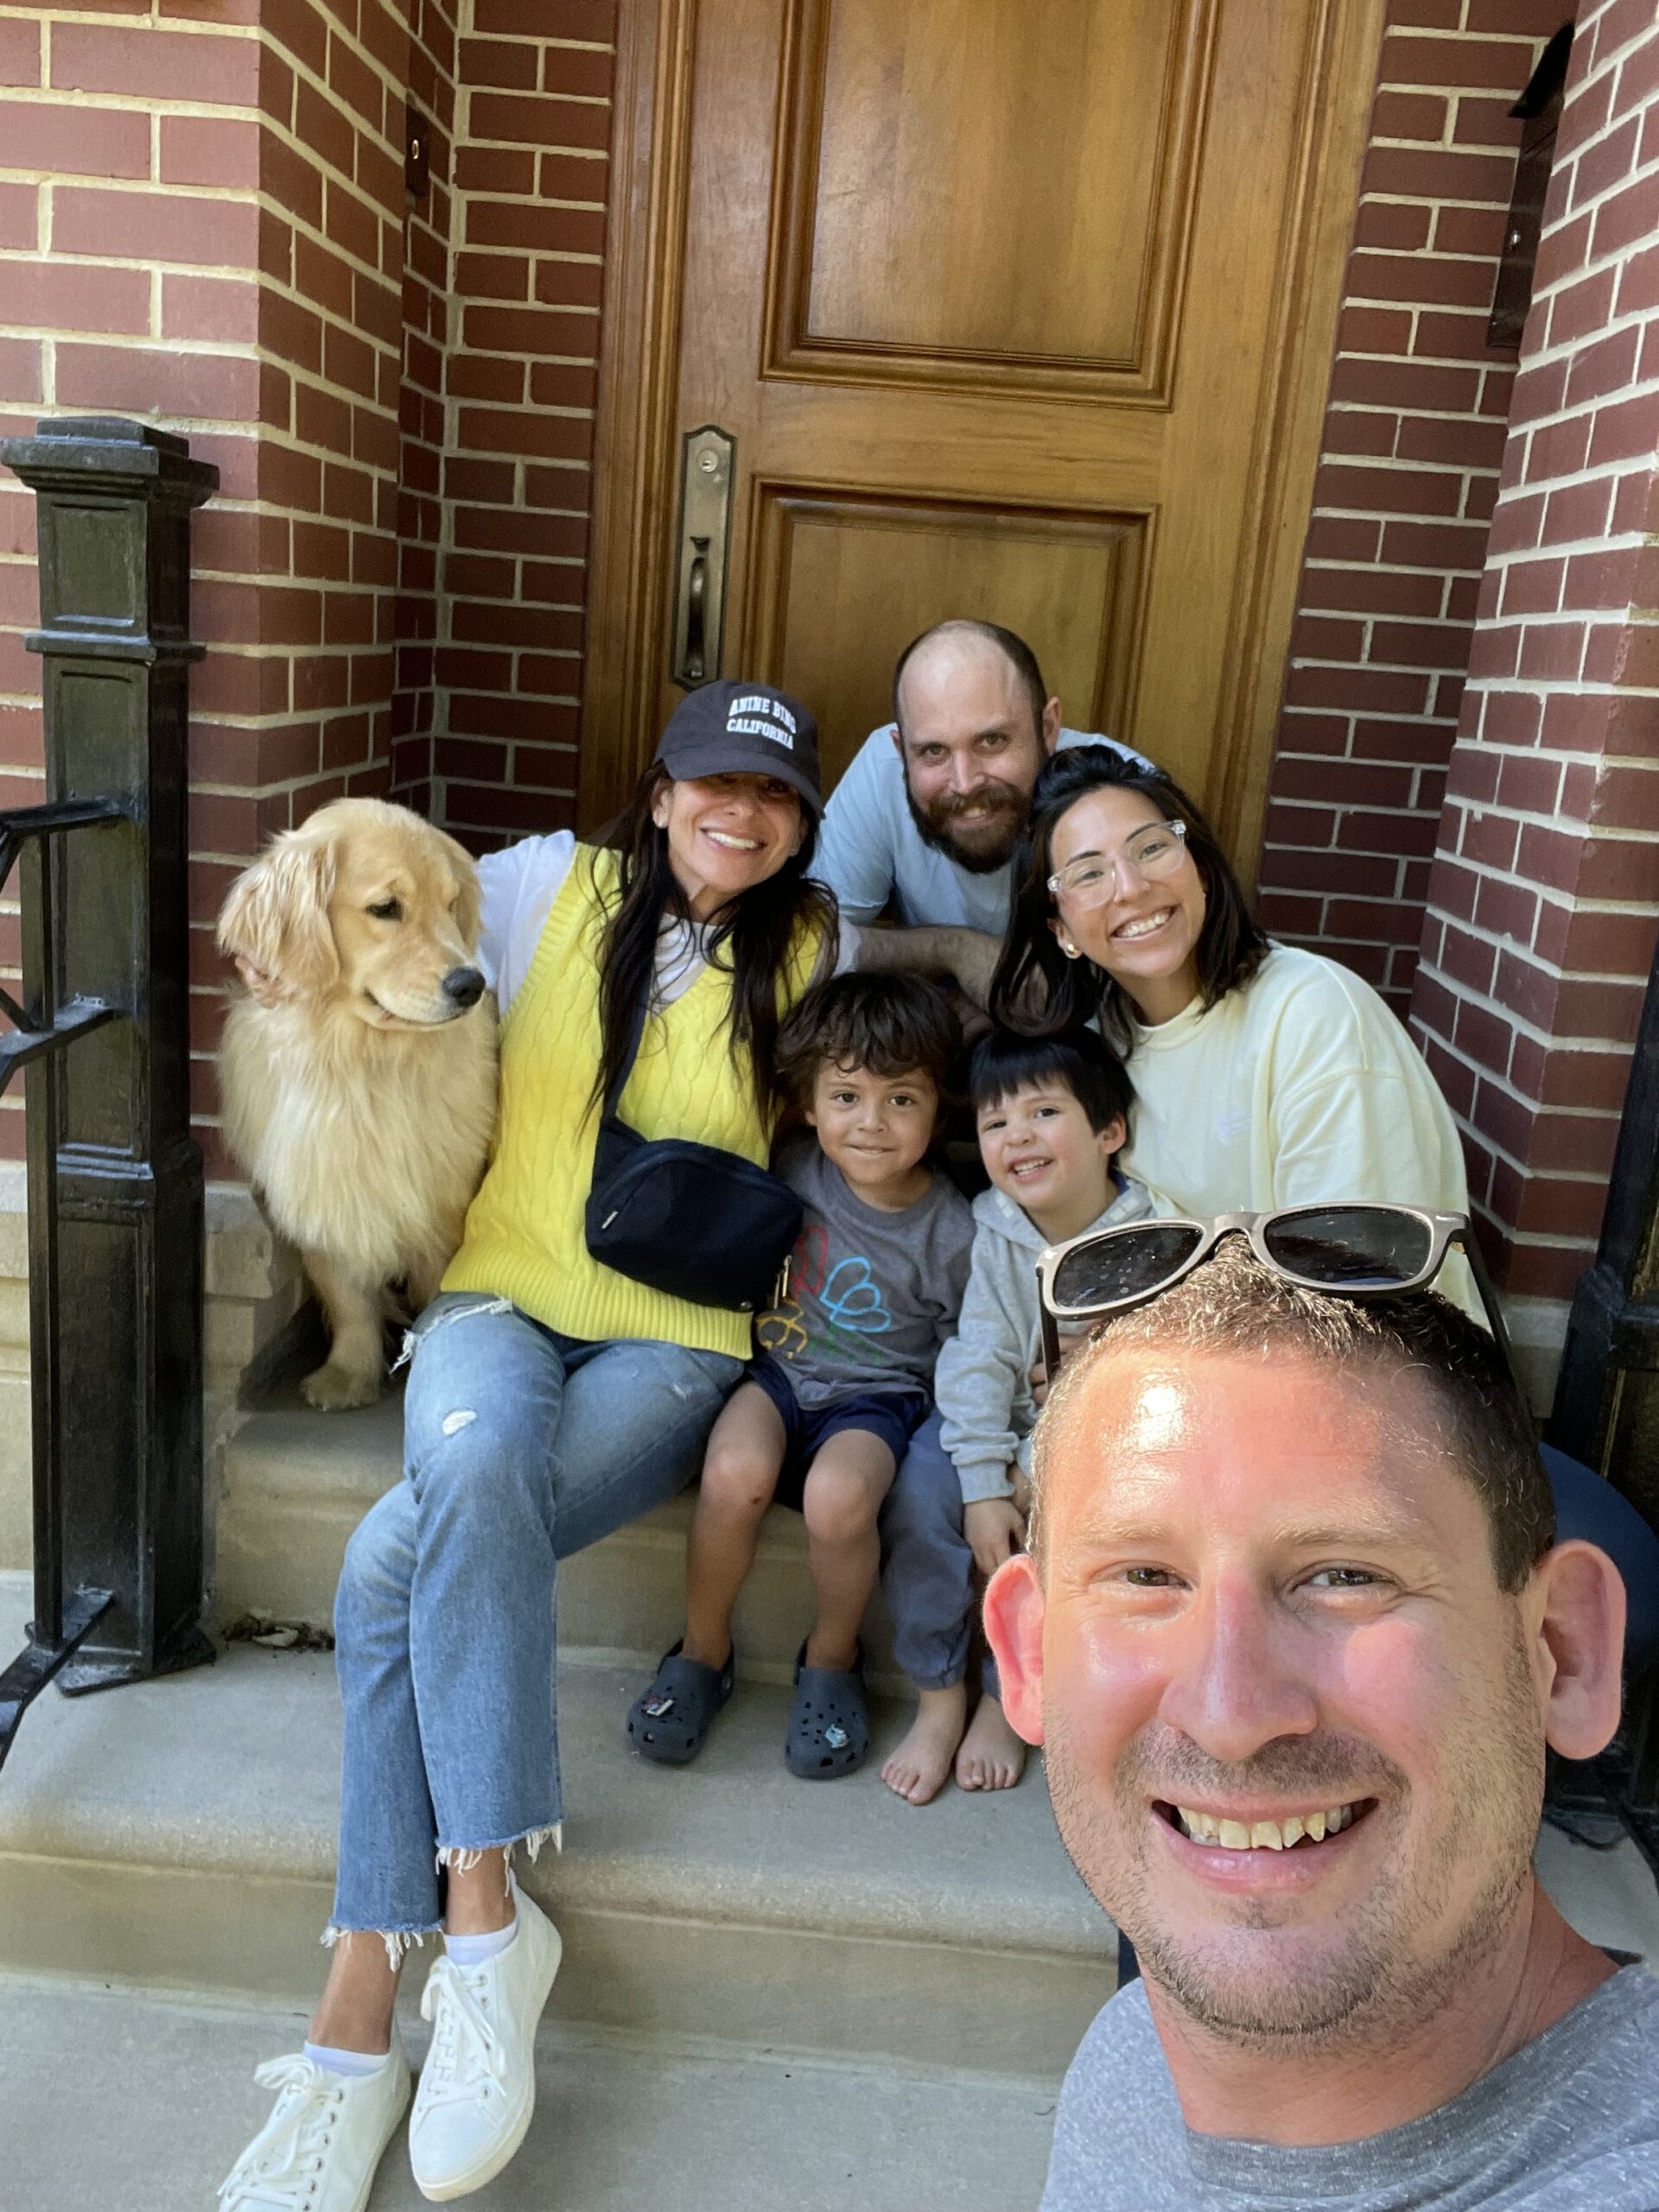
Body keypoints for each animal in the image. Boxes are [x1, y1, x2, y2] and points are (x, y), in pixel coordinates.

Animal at [217, 798, 498, 1410]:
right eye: (386, 908)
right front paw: (348, 1373)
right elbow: (346, 1294)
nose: (470, 984)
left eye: (451, 905)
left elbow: (439, 1288)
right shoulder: (322, 1185)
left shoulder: (444, 1203)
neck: (365, 1063)